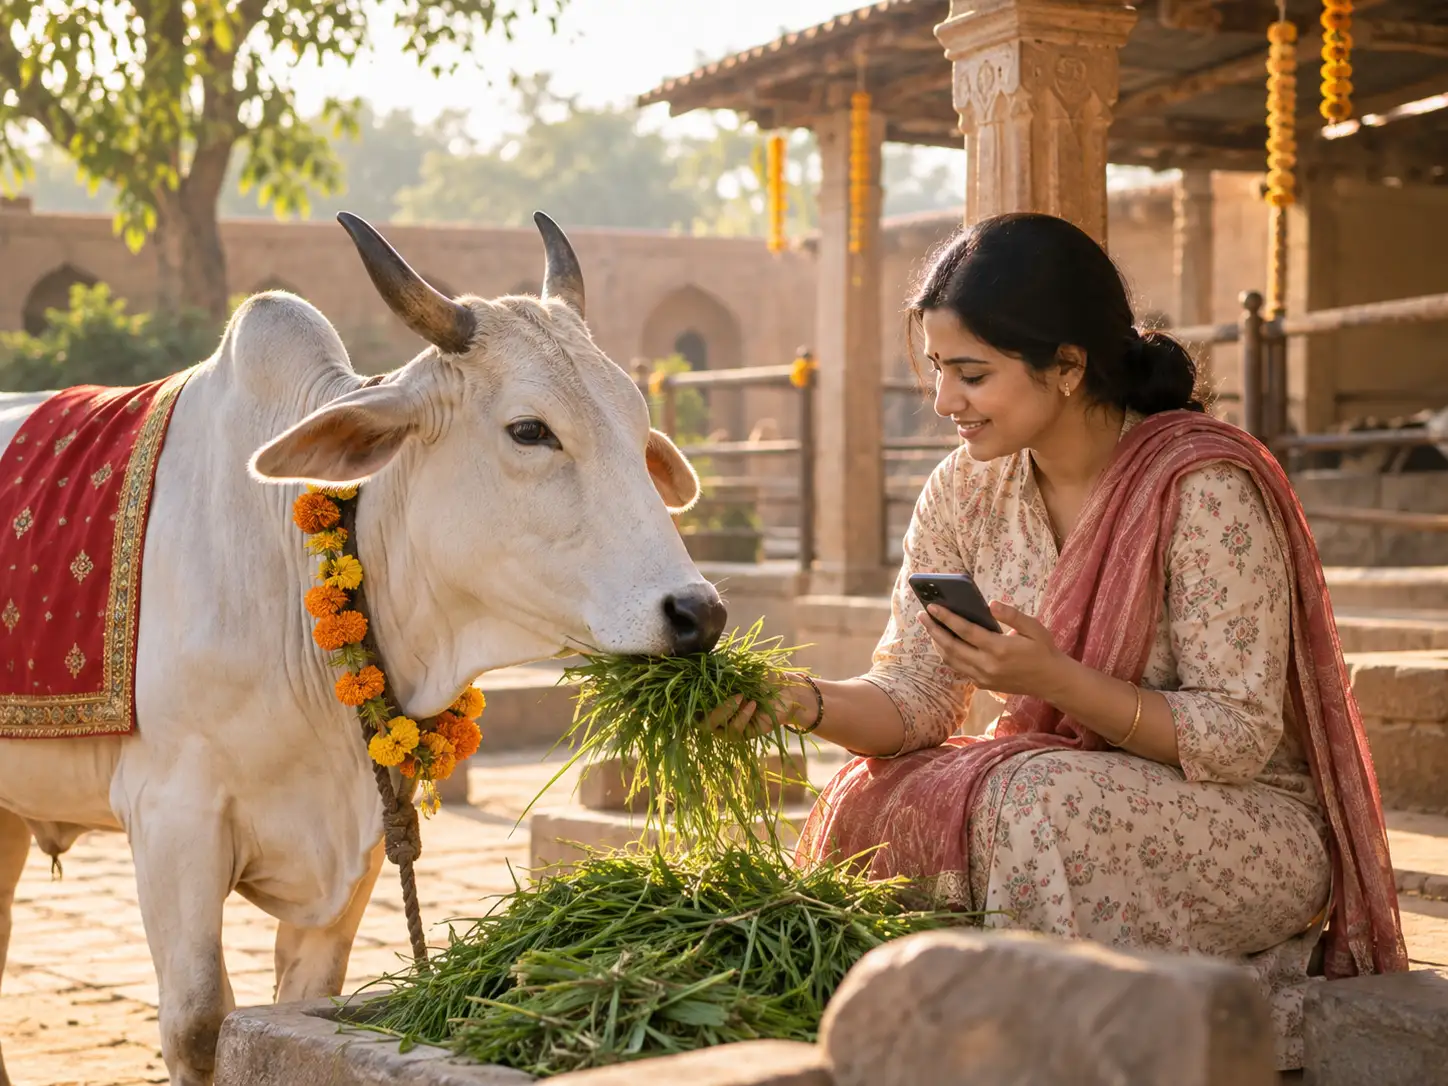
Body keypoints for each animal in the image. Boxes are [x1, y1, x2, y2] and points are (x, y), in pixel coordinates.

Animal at [0, 212, 727, 1086]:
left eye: (637, 424)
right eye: (530, 430)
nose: (696, 613)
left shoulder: (361, 838)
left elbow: (301, 997)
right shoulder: (172, 816)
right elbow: (201, 1023)